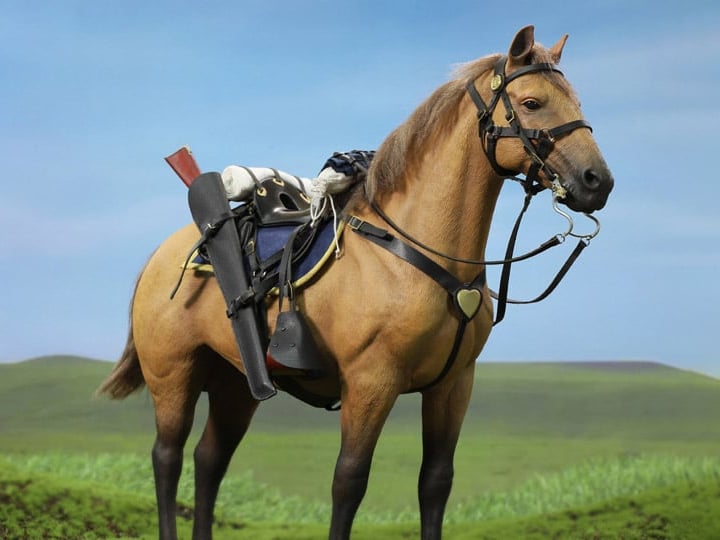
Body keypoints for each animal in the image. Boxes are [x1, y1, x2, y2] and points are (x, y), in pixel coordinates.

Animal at [98, 25, 613, 540]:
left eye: (576, 101)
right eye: (531, 102)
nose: (598, 182)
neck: (415, 252)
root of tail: (159, 257)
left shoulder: (453, 385)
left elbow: (435, 483)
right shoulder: (371, 383)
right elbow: (349, 481)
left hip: (235, 382)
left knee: (210, 460)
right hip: (173, 375)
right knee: (167, 458)